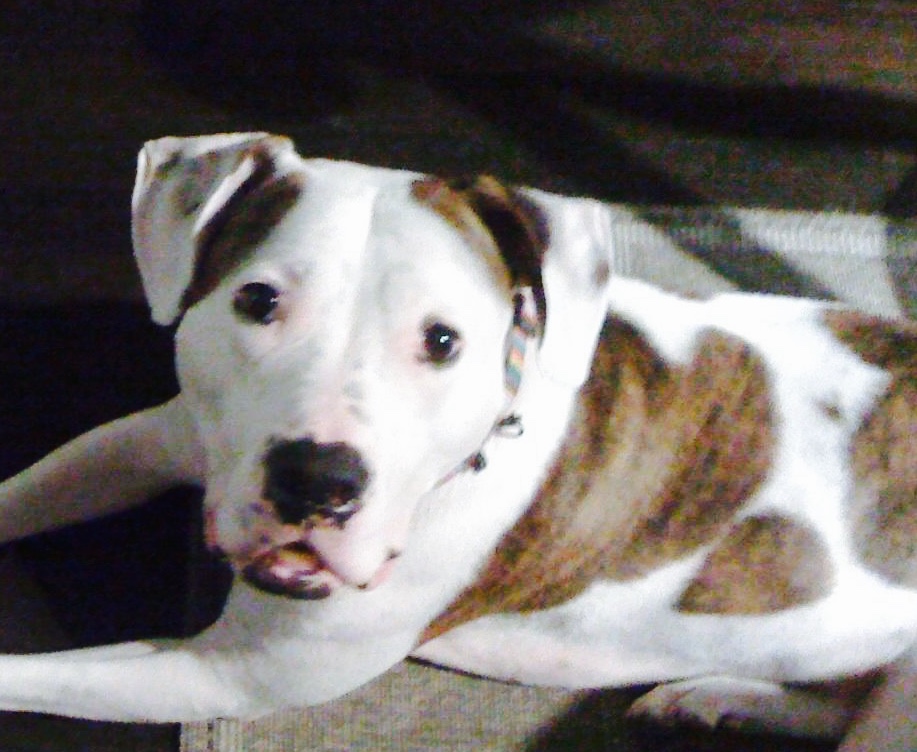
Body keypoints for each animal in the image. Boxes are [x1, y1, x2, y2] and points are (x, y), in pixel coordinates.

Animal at [0, 132, 914, 750]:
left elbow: (31, 673)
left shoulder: (222, 672)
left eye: (442, 341)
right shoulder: (145, 443)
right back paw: (716, 698)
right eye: (256, 302)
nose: (317, 481)